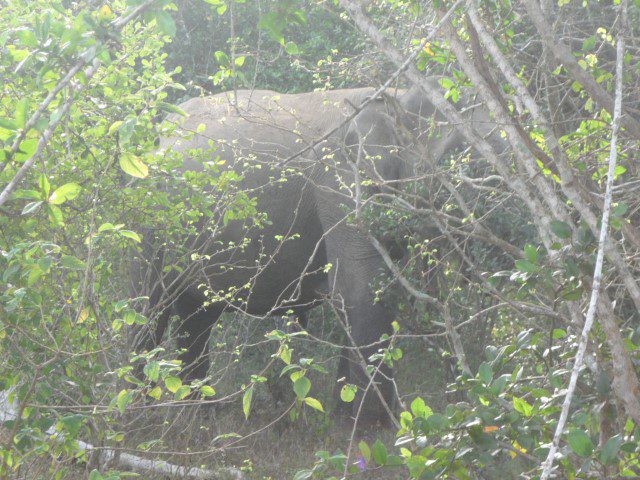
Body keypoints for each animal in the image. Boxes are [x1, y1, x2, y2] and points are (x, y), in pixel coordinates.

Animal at [130, 80, 500, 426]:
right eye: (460, 157)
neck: (395, 96)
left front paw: (345, 419)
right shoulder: (341, 184)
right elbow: (359, 291)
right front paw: (374, 431)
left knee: (197, 318)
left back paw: (198, 416)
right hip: (149, 222)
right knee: (149, 308)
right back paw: (141, 416)